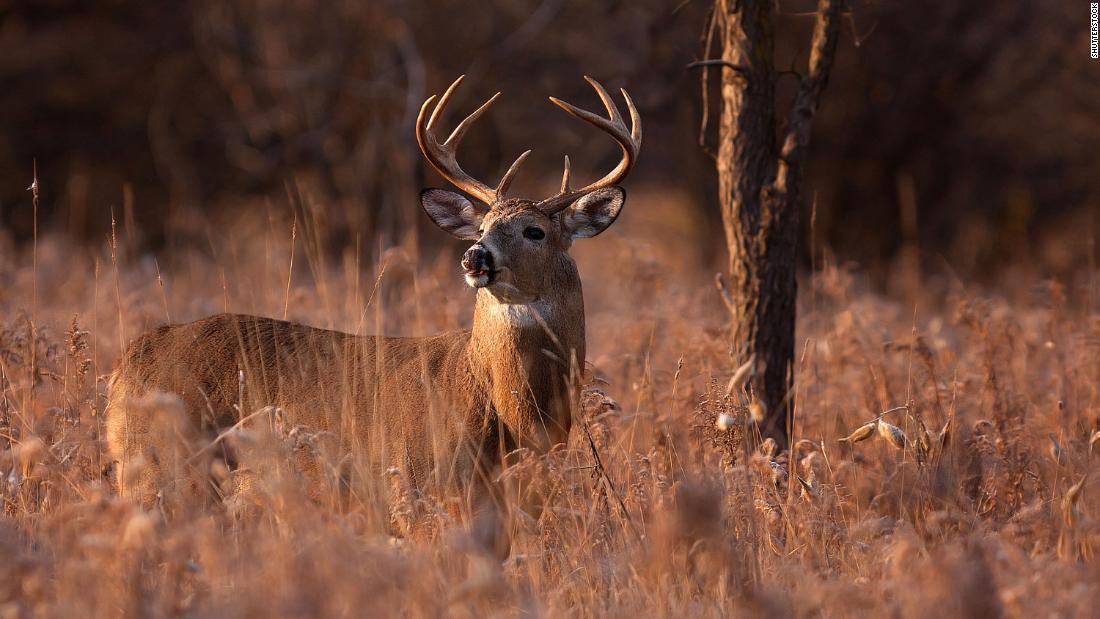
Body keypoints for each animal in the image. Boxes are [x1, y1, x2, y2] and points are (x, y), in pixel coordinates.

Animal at [107, 75, 642, 543]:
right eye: (482, 226)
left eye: (536, 231)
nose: (475, 257)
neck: (507, 414)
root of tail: (127, 362)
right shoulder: (417, 490)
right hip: (165, 469)